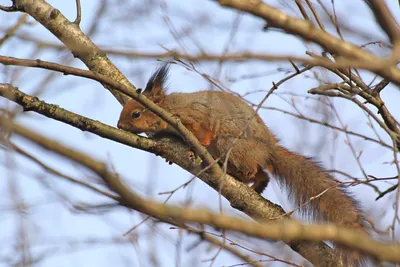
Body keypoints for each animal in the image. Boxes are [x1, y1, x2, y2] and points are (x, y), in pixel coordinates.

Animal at [118, 62, 368, 266]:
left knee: (256, 171)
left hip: (231, 145)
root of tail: (268, 149)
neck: (169, 109)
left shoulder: (196, 116)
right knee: (263, 175)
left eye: (136, 113)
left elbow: (202, 132)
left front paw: (195, 146)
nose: (119, 126)